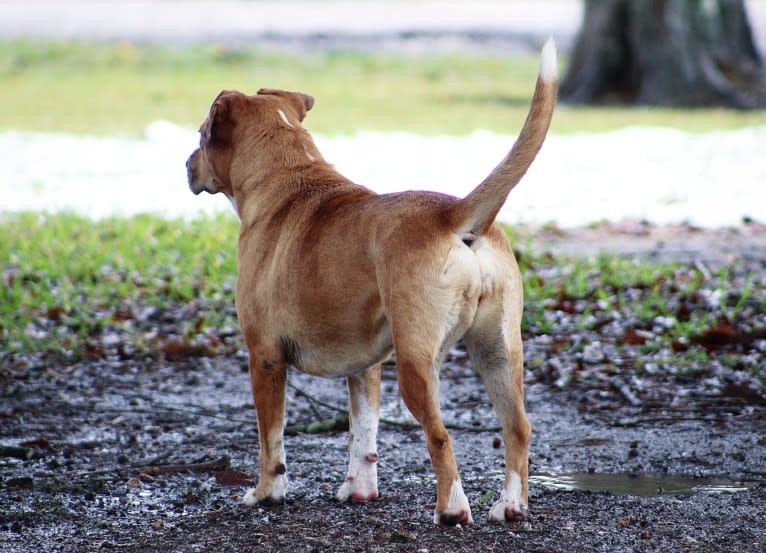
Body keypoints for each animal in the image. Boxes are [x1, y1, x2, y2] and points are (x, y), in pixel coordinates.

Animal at [186, 40, 560, 528]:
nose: (186, 165)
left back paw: (452, 508)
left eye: (201, 135)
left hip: (418, 364)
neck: (287, 177)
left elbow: (272, 439)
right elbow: (362, 433)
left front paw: (266, 493)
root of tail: (452, 213)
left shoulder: (265, 357)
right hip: (498, 354)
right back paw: (510, 505)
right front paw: (358, 490)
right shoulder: (364, 366)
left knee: (441, 436)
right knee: (518, 428)